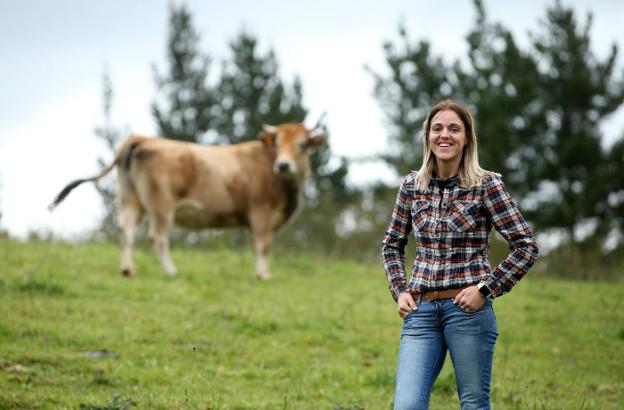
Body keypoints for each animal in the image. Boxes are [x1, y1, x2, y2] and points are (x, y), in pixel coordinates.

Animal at [47, 121, 326, 278]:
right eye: (277, 143)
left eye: (302, 144)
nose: (283, 165)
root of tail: (140, 138)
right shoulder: (261, 211)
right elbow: (263, 245)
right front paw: (264, 275)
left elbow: (256, 245)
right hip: (161, 205)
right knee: (157, 237)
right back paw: (170, 271)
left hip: (130, 199)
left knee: (125, 230)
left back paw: (128, 269)